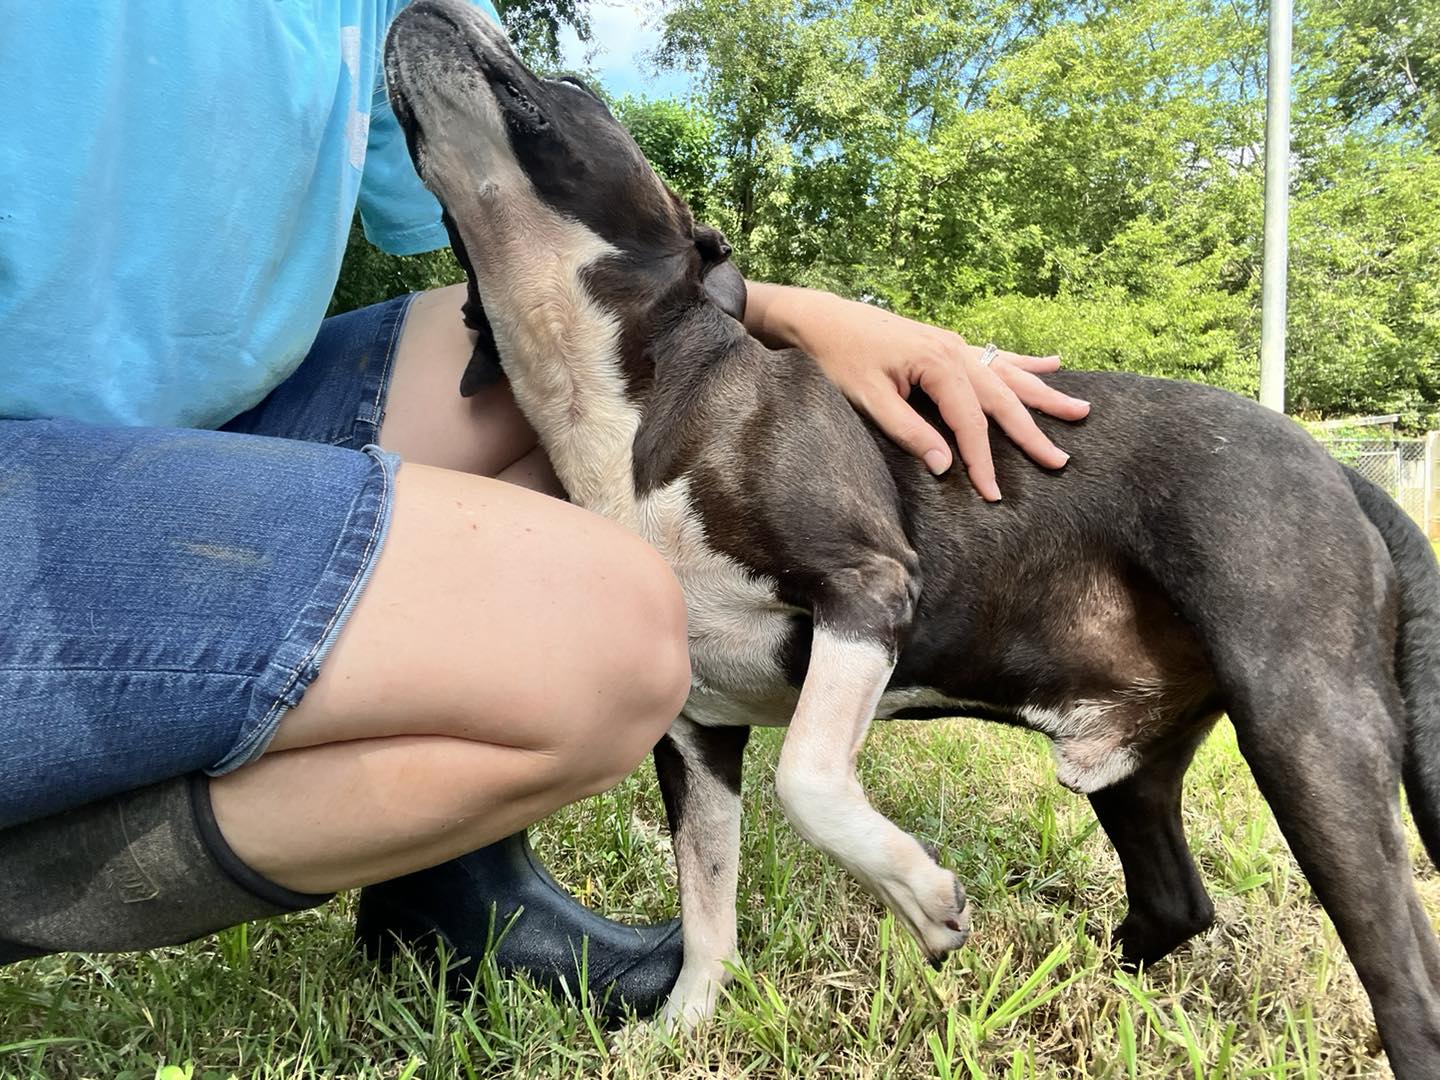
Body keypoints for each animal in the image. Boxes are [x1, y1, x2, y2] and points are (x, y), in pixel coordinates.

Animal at [385, 4, 1440, 1077]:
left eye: (571, 86)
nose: (433, 9)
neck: (623, 395)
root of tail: (1335, 465)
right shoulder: (695, 731)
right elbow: (708, 895)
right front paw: (683, 1025)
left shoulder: (868, 588)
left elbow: (808, 776)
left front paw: (923, 898)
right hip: (1136, 772)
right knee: (1175, 905)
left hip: (1307, 728)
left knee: (1406, 982)